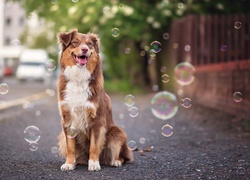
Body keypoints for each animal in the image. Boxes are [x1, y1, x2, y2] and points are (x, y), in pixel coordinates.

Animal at [56, 29, 133, 172]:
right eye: (75, 42)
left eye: (89, 44)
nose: (85, 49)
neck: (79, 78)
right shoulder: (67, 119)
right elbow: (70, 147)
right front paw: (69, 163)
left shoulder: (97, 120)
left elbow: (94, 145)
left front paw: (93, 164)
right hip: (61, 137)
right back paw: (77, 161)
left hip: (117, 132)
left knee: (124, 156)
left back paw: (115, 161)